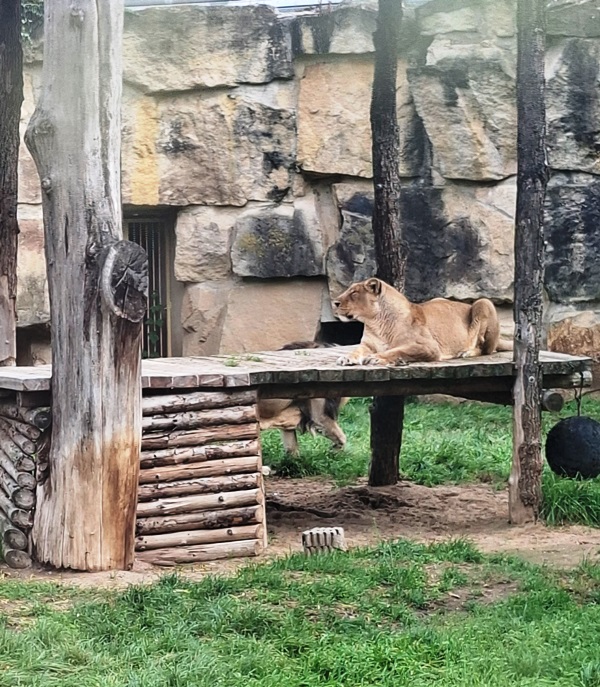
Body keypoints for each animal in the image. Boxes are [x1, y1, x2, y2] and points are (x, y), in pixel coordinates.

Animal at [332, 278, 511, 366]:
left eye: (354, 293)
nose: (335, 302)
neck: (375, 323)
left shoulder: (430, 346)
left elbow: (397, 350)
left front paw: (376, 358)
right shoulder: (367, 345)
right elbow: (356, 351)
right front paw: (347, 358)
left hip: (484, 303)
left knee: (486, 349)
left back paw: (466, 352)